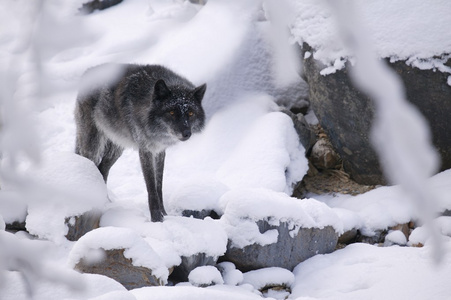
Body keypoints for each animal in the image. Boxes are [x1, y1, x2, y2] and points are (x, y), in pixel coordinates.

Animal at [75, 63, 207, 221]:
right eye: (172, 112)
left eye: (191, 113)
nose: (187, 133)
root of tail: (87, 72)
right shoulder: (145, 150)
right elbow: (151, 187)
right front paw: (157, 219)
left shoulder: (160, 151)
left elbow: (158, 186)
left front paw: (164, 214)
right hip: (93, 145)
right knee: (90, 166)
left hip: (117, 149)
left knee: (102, 170)